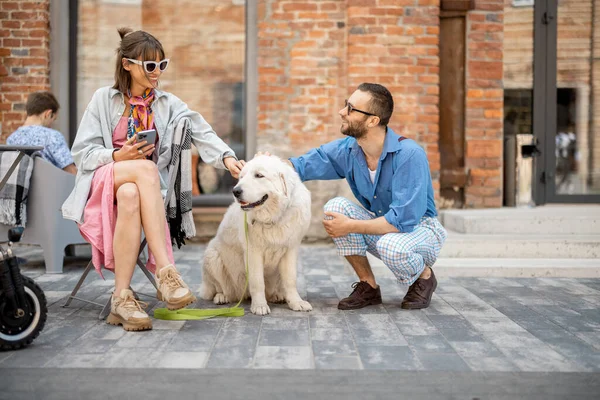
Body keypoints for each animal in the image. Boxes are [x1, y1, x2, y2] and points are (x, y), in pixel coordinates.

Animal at [202, 155, 314, 316]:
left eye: (259, 175)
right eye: (241, 177)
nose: (235, 191)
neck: (273, 218)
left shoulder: (290, 250)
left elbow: (290, 280)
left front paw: (296, 302)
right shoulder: (253, 252)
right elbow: (257, 281)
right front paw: (259, 305)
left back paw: (277, 295)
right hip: (212, 256)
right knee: (219, 287)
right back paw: (222, 296)